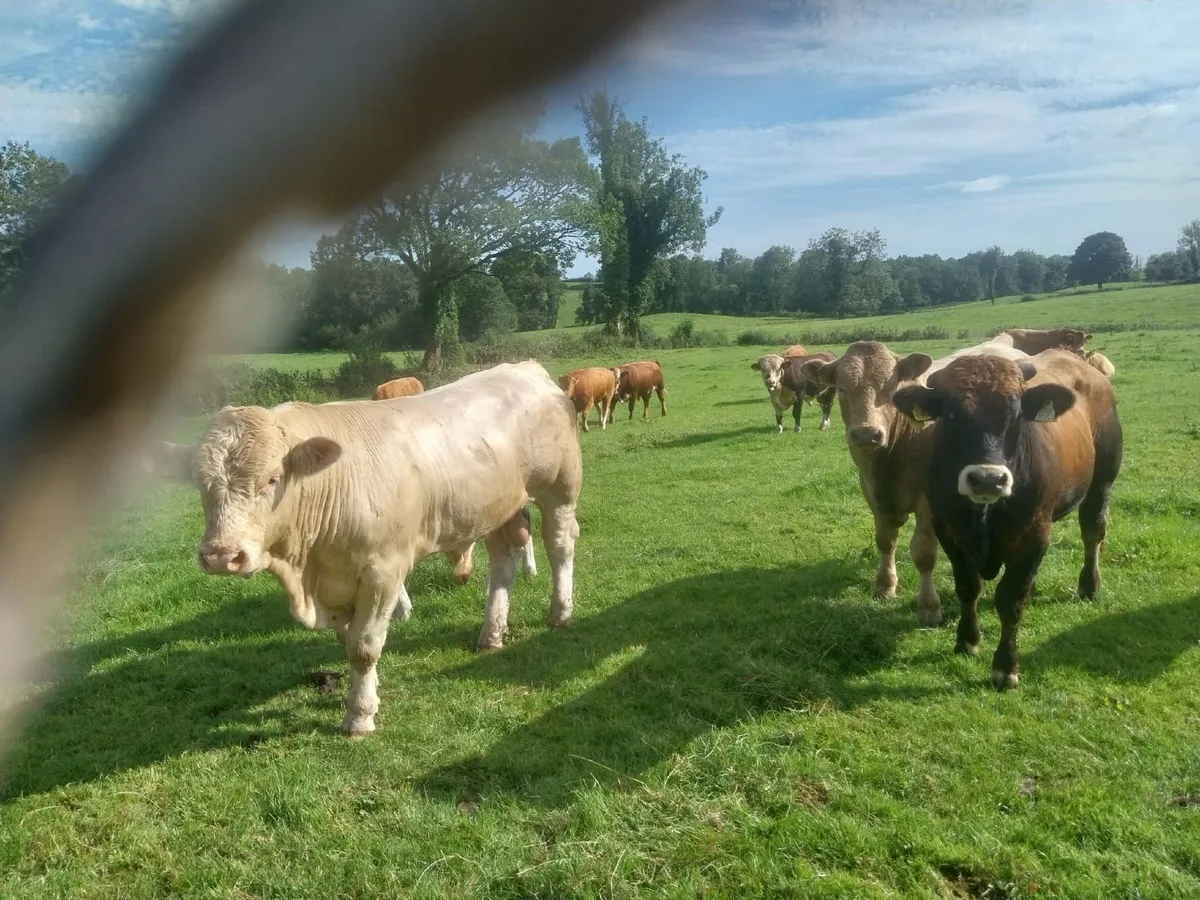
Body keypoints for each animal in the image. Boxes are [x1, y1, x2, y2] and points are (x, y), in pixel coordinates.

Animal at [150, 361, 582, 736]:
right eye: (199, 483)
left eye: (272, 479)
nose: (221, 556)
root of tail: (524, 368)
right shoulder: (337, 585)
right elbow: (348, 643)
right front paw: (367, 697)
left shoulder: (382, 572)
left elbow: (364, 646)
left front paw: (359, 716)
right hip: (497, 508)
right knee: (503, 562)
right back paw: (491, 633)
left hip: (559, 490)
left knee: (560, 545)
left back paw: (560, 612)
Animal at [800, 336, 1033, 626]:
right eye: (842, 388)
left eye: (891, 389)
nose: (867, 434)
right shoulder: (870, 491)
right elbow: (885, 540)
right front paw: (885, 585)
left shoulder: (927, 501)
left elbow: (924, 553)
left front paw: (929, 606)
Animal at [891, 351, 1122, 691]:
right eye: (950, 416)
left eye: (1015, 417)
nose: (988, 479)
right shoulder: (948, 530)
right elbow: (968, 587)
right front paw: (967, 640)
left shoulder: (1035, 533)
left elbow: (1011, 599)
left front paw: (1005, 666)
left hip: (1103, 480)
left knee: (1093, 532)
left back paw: (1089, 585)